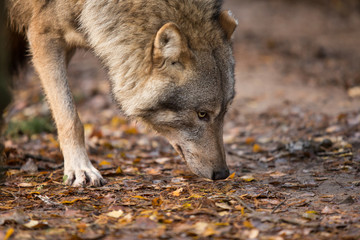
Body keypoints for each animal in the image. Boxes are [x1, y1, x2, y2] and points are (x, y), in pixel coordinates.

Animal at [6, 0, 236, 187]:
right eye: (202, 114)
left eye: (225, 113)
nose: (223, 173)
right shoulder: (44, 35)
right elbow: (70, 117)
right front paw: (80, 169)